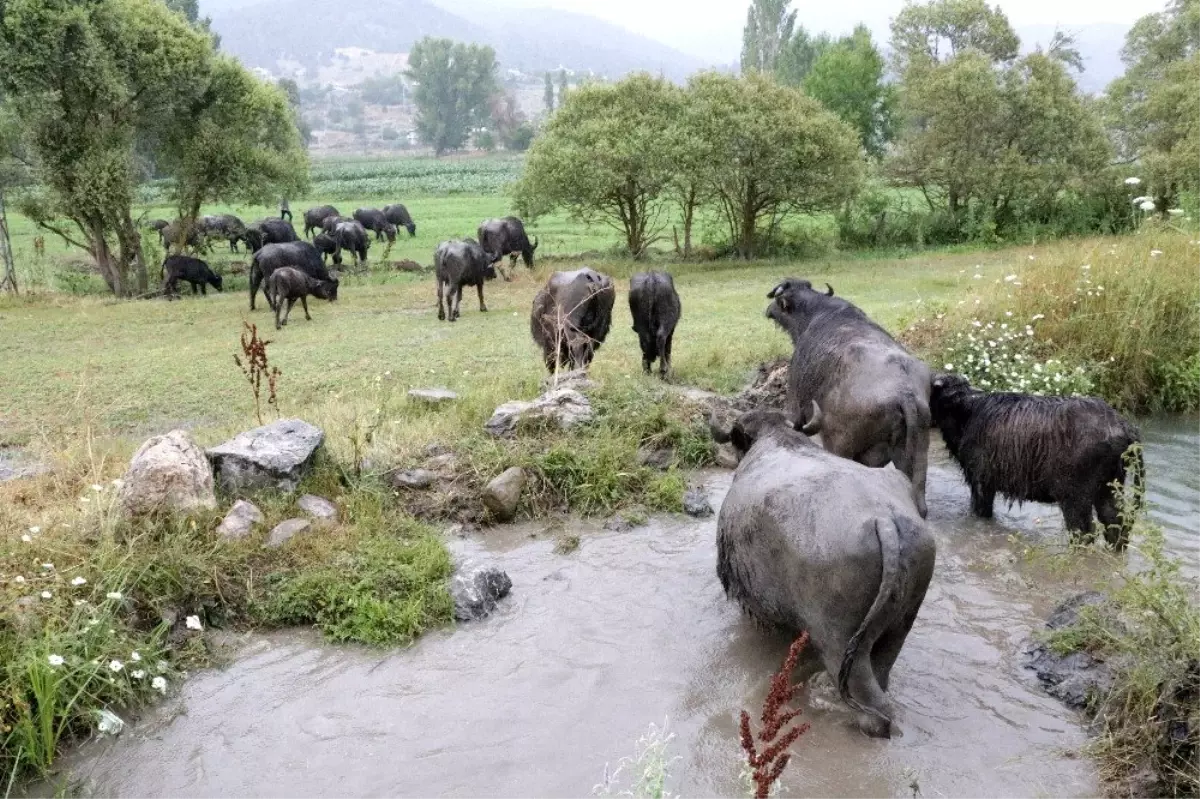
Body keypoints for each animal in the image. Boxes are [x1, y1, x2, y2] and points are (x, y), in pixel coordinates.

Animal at [710, 407, 936, 739]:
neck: (777, 441)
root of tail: (883, 519)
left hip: (839, 641)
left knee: (872, 703)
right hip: (900, 625)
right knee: (882, 674)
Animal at [763, 278, 931, 515]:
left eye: (779, 296)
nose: (768, 310)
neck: (815, 313)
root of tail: (904, 391)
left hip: (839, 445)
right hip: (917, 451)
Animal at [926, 374, 1142, 547]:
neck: (967, 412)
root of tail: (1123, 426)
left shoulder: (981, 481)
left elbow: (981, 511)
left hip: (1075, 496)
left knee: (1084, 533)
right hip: (1109, 488)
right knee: (1116, 524)